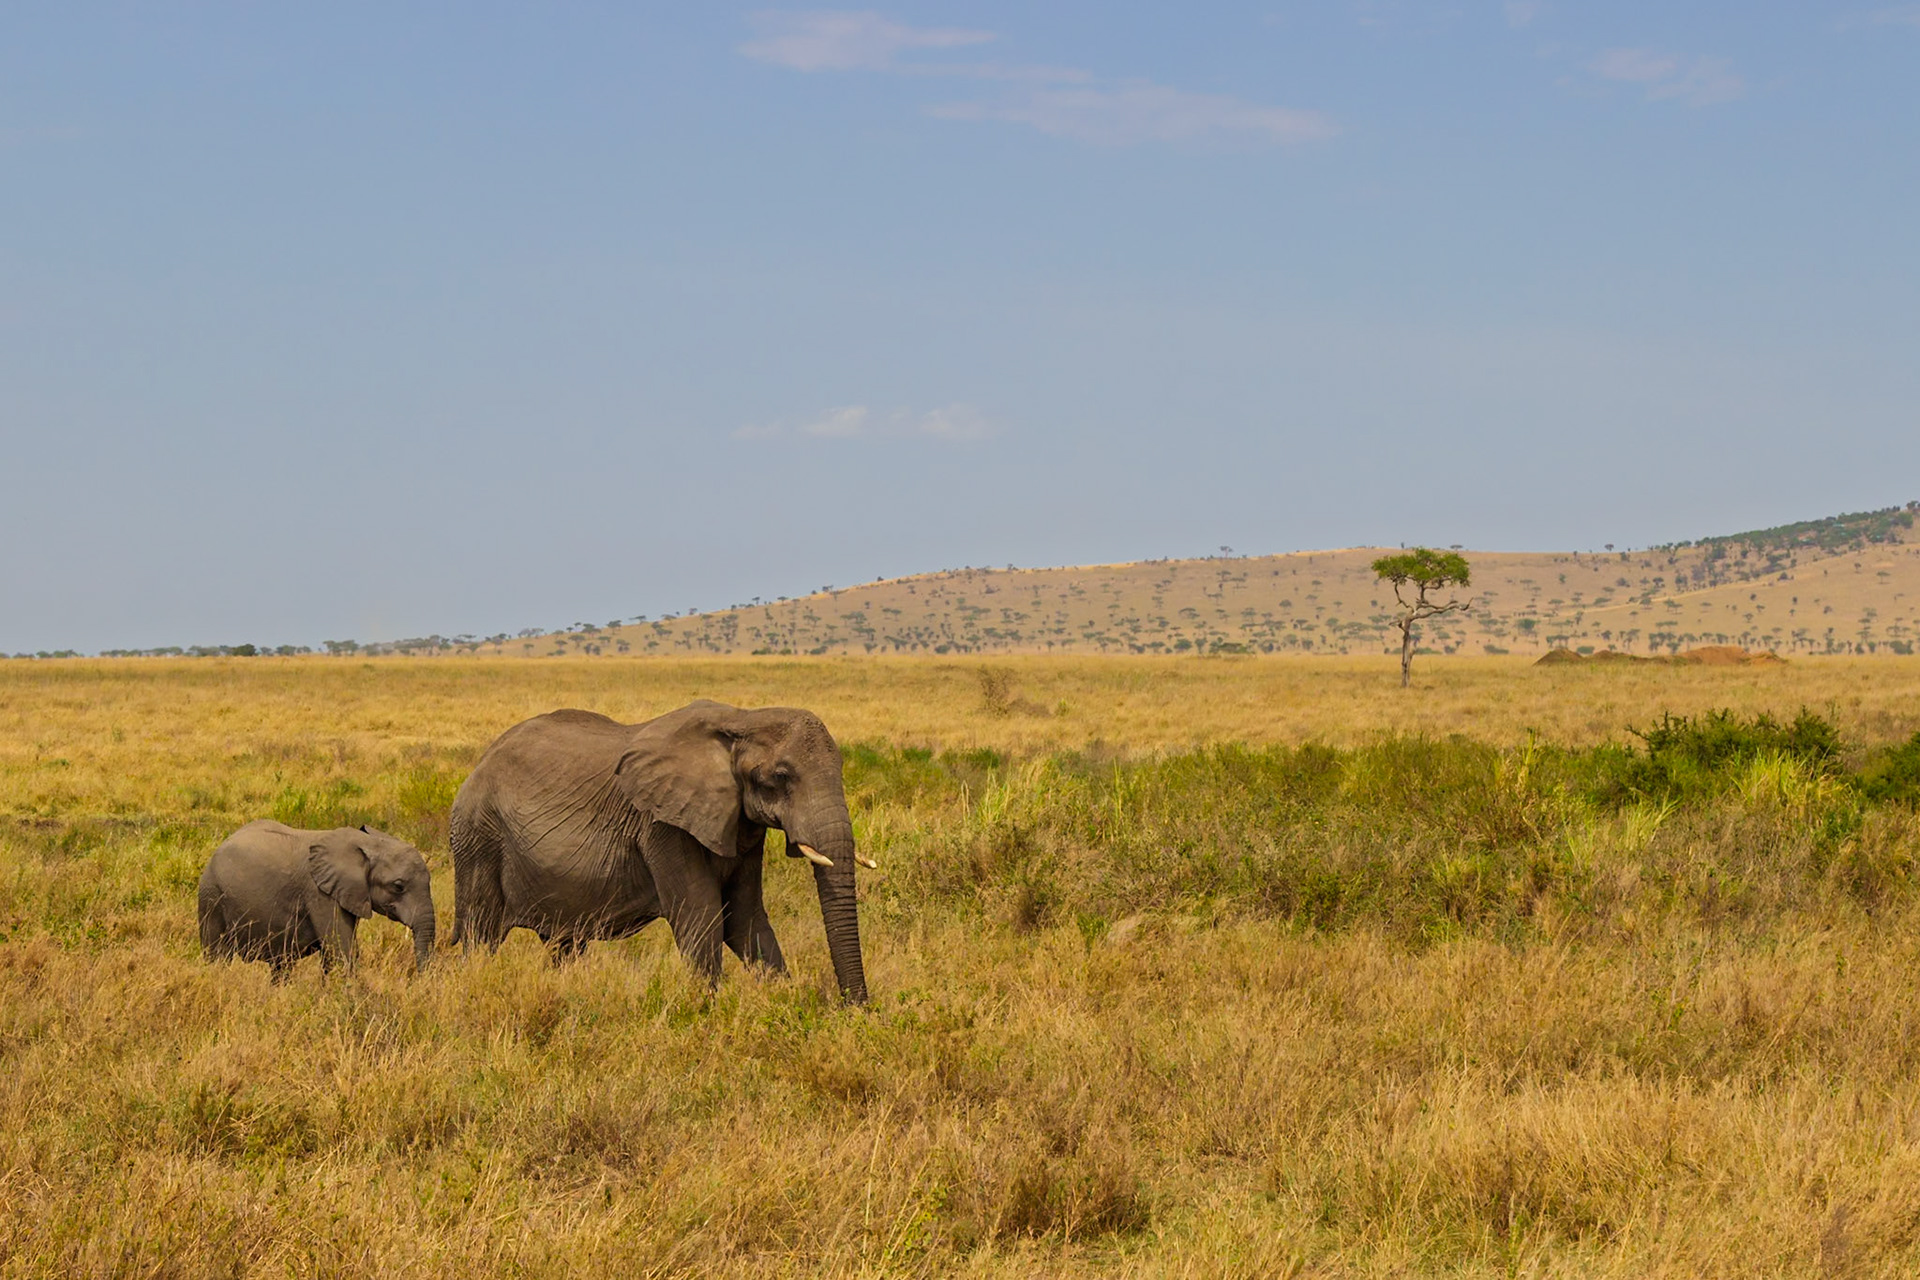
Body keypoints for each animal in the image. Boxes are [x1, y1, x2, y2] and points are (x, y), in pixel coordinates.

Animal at [198, 820, 436, 980]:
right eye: (398, 886)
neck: (370, 842)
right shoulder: (320, 893)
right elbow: (341, 950)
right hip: (211, 896)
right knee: (217, 955)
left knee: (281, 965)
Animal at [448, 700, 873, 1002]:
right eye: (781, 777)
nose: (856, 1009)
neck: (742, 719)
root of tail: (477, 767)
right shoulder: (661, 826)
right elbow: (701, 917)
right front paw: (706, 1013)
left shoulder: (742, 824)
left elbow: (745, 918)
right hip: (479, 838)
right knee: (480, 935)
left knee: (565, 945)